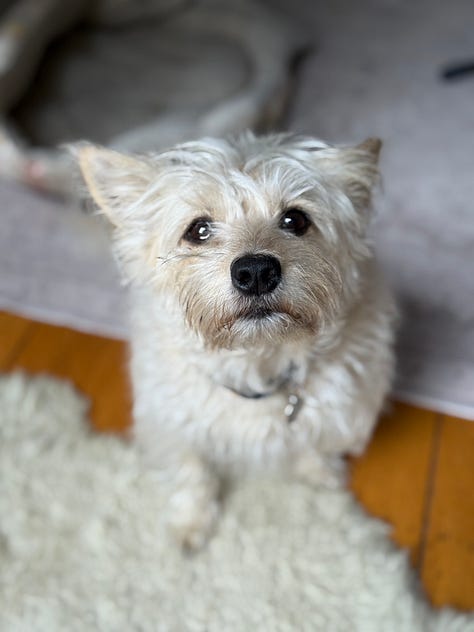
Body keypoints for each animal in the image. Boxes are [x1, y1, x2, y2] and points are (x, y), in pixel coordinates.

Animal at [77, 132, 397, 549]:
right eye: (198, 230)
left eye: (296, 219)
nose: (256, 271)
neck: (257, 362)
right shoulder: (173, 425)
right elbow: (192, 472)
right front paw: (190, 524)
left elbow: (315, 444)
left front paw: (318, 477)